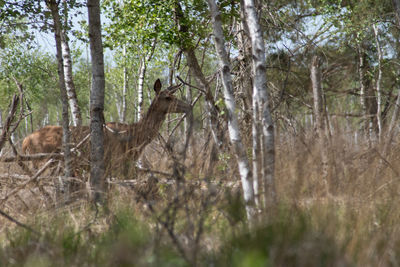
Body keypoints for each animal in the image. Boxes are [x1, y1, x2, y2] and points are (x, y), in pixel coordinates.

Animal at [22, 79, 193, 176]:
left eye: (174, 95)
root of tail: (25, 141)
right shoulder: (115, 164)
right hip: (43, 163)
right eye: (168, 97)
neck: (135, 139)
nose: (189, 106)